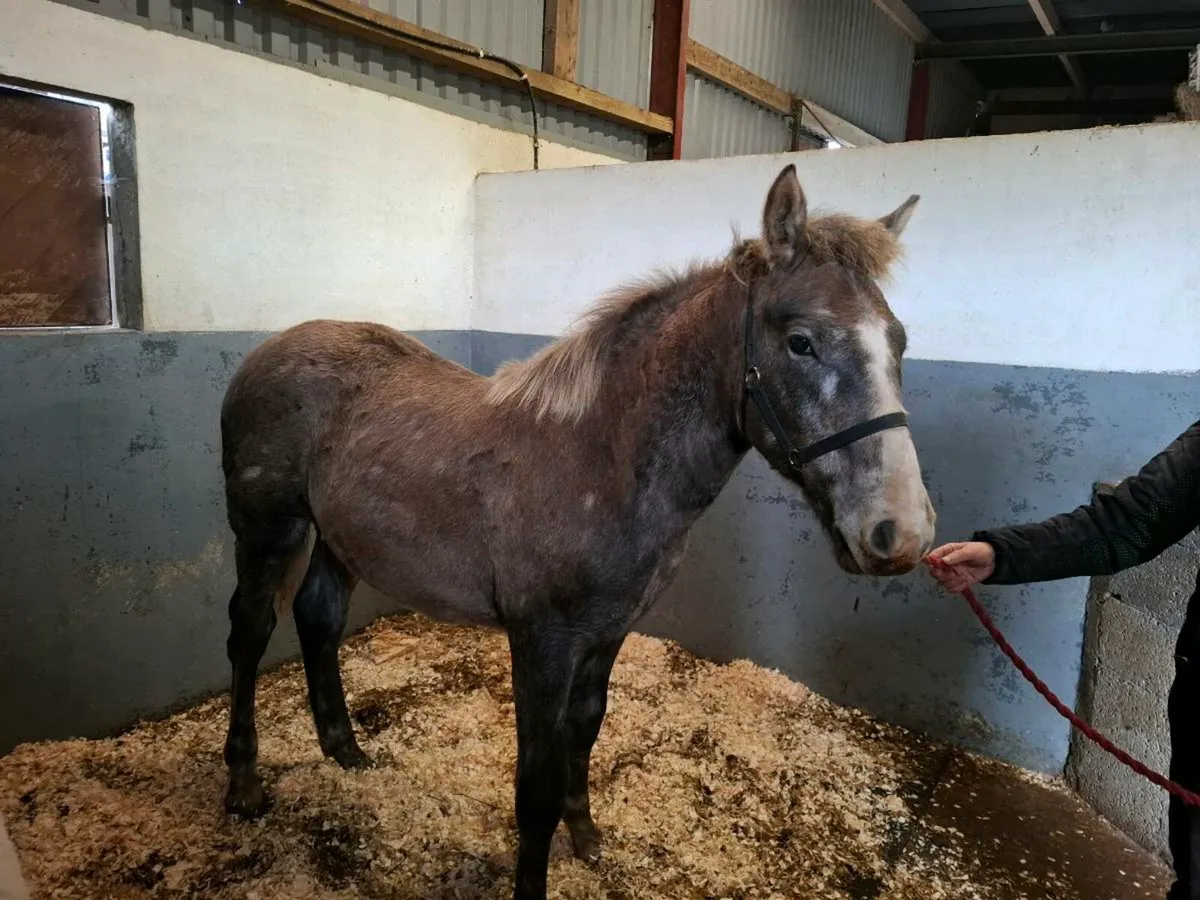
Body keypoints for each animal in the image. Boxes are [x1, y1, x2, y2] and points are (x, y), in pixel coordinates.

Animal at [217, 164, 936, 900]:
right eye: (801, 341)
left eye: (899, 341)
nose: (899, 532)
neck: (600, 455)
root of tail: (271, 348)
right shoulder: (542, 642)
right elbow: (534, 784)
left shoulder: (608, 631)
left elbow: (584, 734)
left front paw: (587, 835)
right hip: (267, 530)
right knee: (249, 633)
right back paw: (244, 782)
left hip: (339, 538)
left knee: (318, 617)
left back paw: (346, 751)